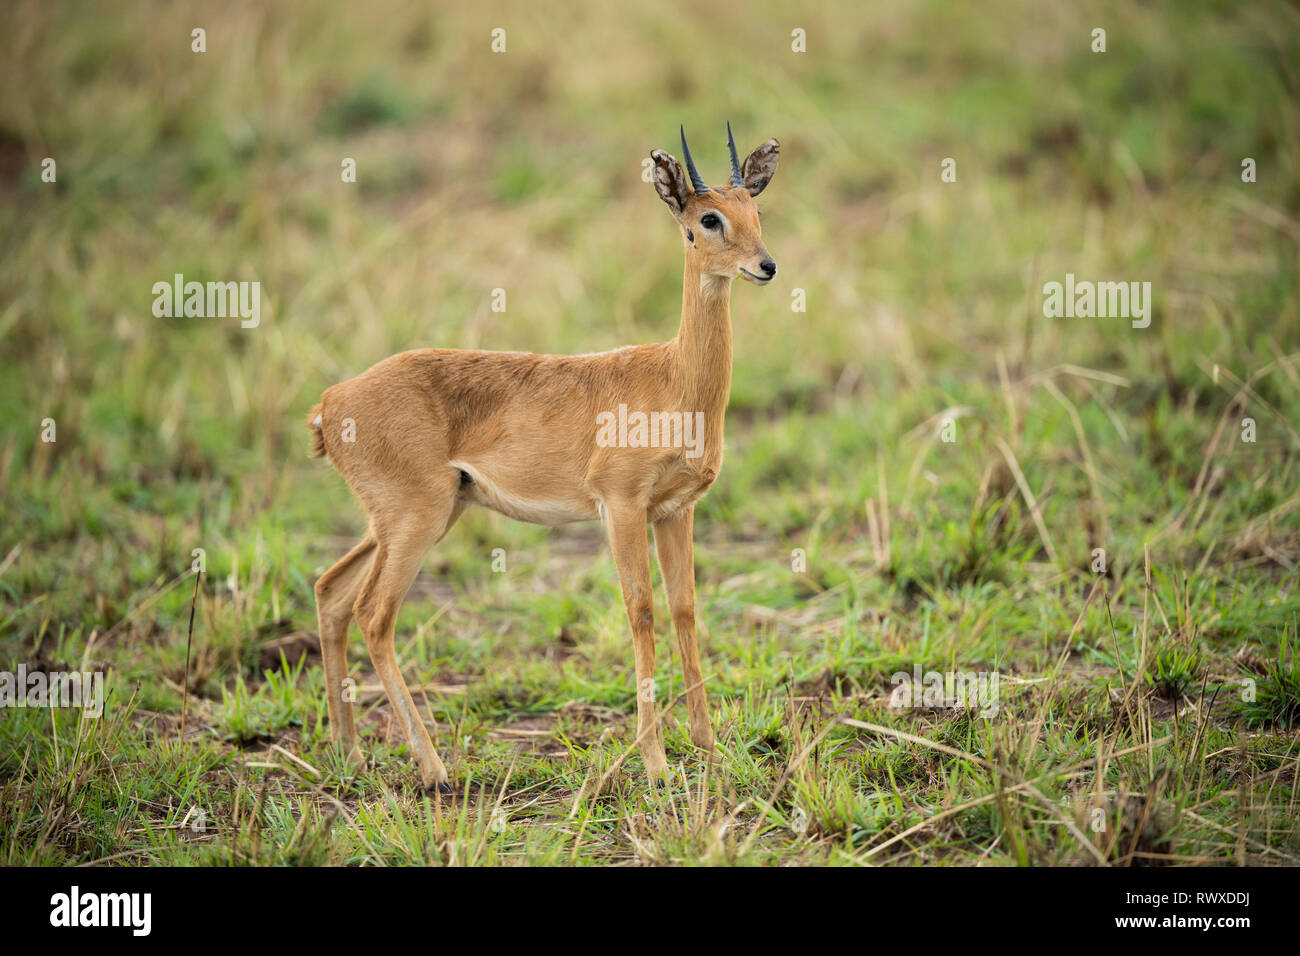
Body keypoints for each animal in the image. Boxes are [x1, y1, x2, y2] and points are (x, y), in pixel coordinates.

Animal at [309, 123, 774, 790]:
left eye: (755, 210)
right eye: (706, 219)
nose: (765, 265)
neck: (675, 379)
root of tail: (331, 402)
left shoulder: (675, 510)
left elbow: (684, 608)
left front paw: (708, 749)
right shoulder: (622, 506)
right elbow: (641, 610)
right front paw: (657, 765)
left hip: (418, 516)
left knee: (331, 591)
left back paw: (348, 754)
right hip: (416, 518)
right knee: (375, 615)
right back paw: (435, 770)